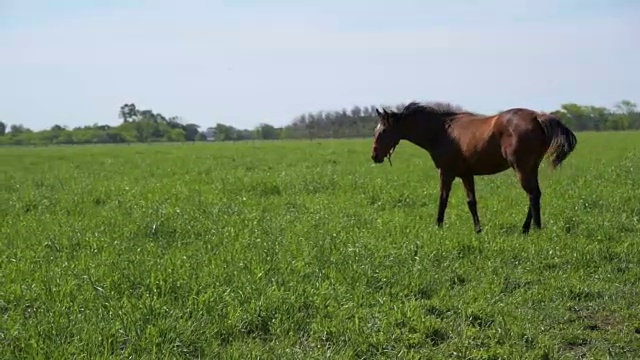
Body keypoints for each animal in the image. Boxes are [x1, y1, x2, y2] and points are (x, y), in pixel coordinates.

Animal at [372, 102, 576, 235]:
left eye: (383, 131)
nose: (374, 156)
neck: (442, 131)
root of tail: (537, 117)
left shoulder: (446, 173)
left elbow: (443, 200)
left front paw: (438, 226)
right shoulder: (466, 174)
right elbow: (471, 202)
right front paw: (478, 229)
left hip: (522, 168)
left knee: (532, 194)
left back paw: (535, 228)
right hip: (531, 168)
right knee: (534, 194)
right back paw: (525, 229)